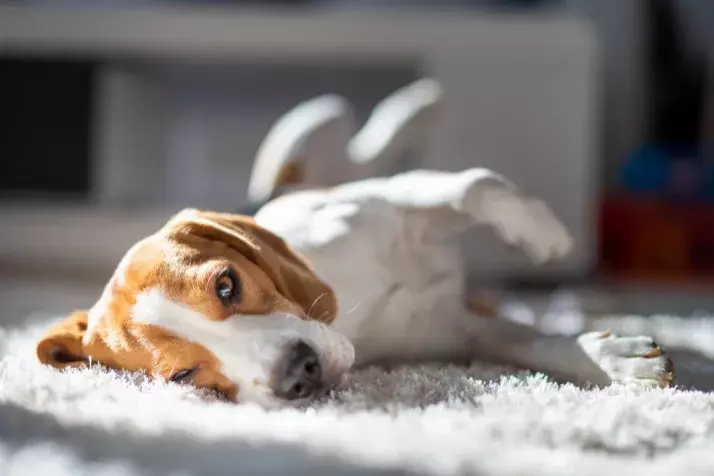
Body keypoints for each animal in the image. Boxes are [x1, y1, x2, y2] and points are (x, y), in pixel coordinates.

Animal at [34, 78, 672, 406]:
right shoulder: (458, 331)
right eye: (184, 377)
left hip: (326, 161)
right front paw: (618, 362)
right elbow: (531, 345)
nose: (300, 374)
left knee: (351, 139)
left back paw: (416, 104)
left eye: (226, 283)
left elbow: (474, 185)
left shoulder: (390, 199)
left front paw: (542, 234)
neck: (349, 315)